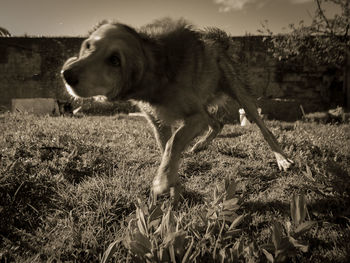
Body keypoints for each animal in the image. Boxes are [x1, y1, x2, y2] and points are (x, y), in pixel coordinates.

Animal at [61, 18, 294, 200]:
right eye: (88, 46)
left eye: (115, 60)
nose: (66, 74)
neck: (157, 72)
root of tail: (218, 40)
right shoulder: (158, 122)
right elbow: (167, 148)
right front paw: (173, 183)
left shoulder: (193, 117)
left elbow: (173, 144)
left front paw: (163, 181)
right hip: (202, 108)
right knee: (217, 123)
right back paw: (199, 145)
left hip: (242, 98)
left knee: (265, 130)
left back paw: (282, 159)